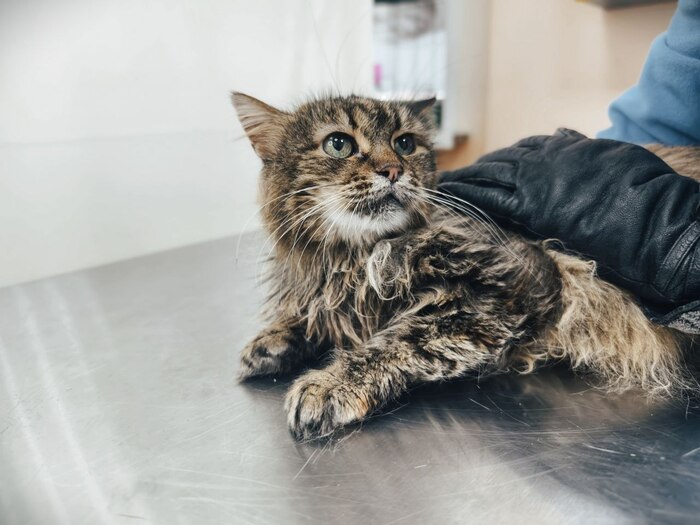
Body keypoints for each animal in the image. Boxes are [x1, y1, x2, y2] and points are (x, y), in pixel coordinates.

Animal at [232, 92, 696, 440]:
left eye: (405, 144)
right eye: (338, 144)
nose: (393, 170)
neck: (351, 256)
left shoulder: (512, 285)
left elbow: (400, 339)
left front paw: (329, 383)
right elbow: (315, 316)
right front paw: (273, 341)